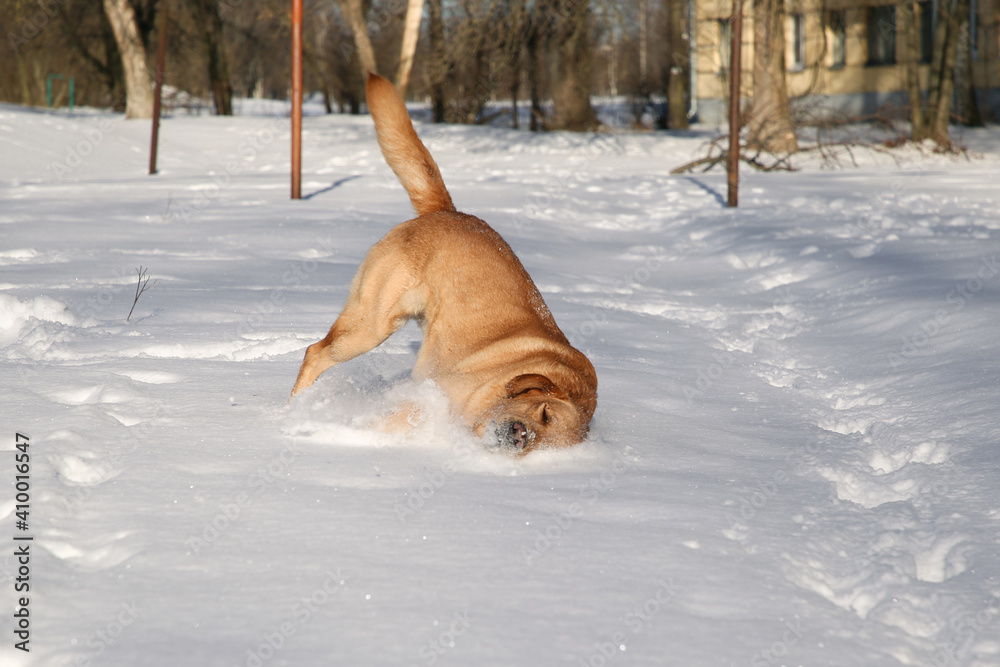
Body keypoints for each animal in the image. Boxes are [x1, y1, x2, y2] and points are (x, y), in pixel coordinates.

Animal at [292, 73, 596, 454]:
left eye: (545, 445)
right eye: (544, 412)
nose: (519, 435)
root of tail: (445, 210)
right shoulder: (431, 400)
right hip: (369, 324)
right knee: (314, 353)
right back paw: (294, 411)